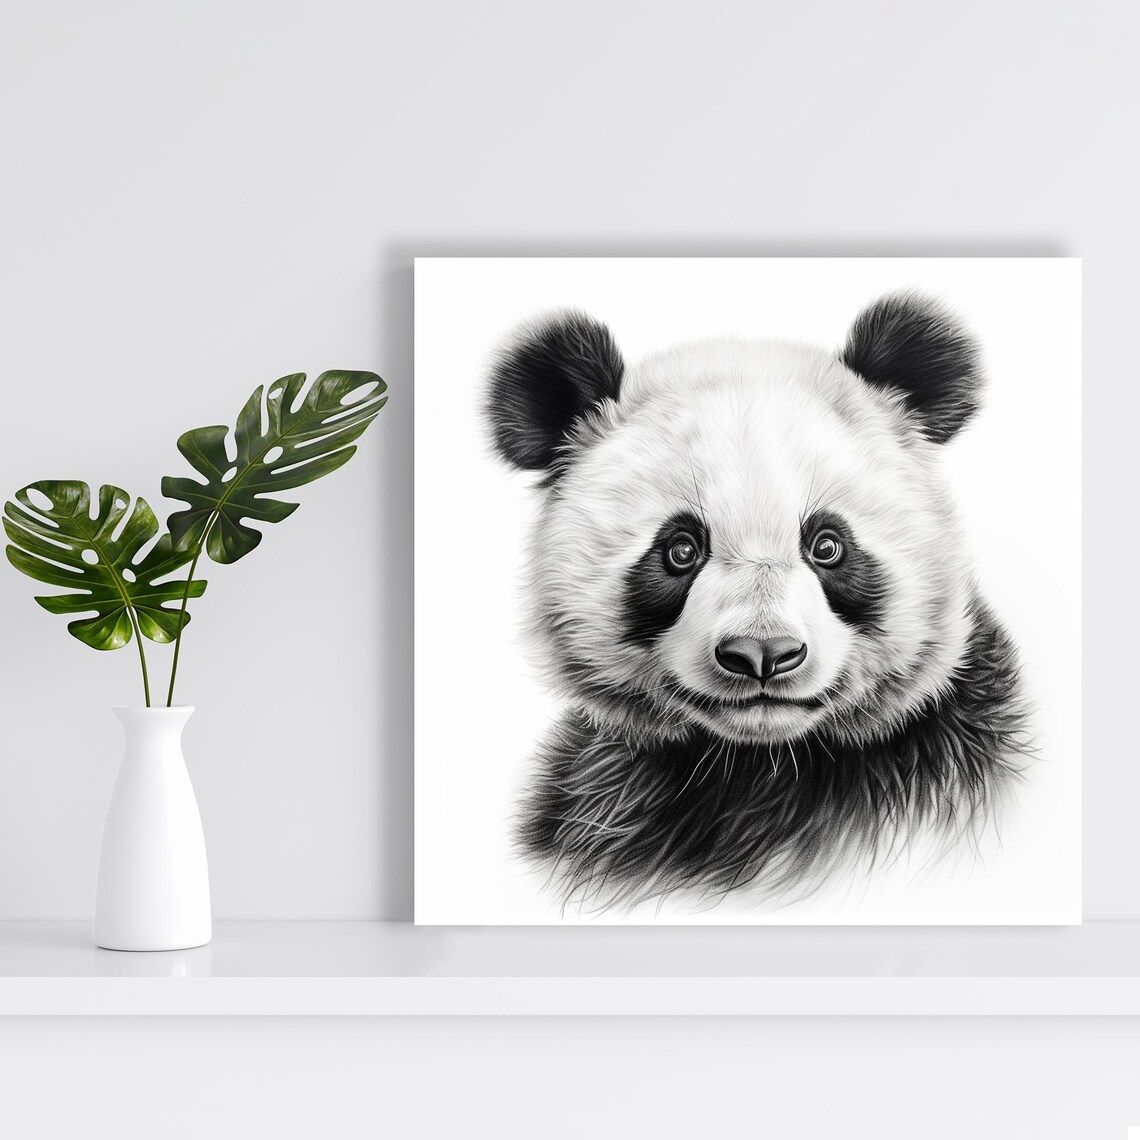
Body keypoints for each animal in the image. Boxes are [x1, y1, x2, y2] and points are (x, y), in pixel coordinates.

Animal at [483, 291, 1031, 911]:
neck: (760, 766)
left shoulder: (943, 759)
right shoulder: (605, 792)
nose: (762, 654)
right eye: (680, 549)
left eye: (827, 545)